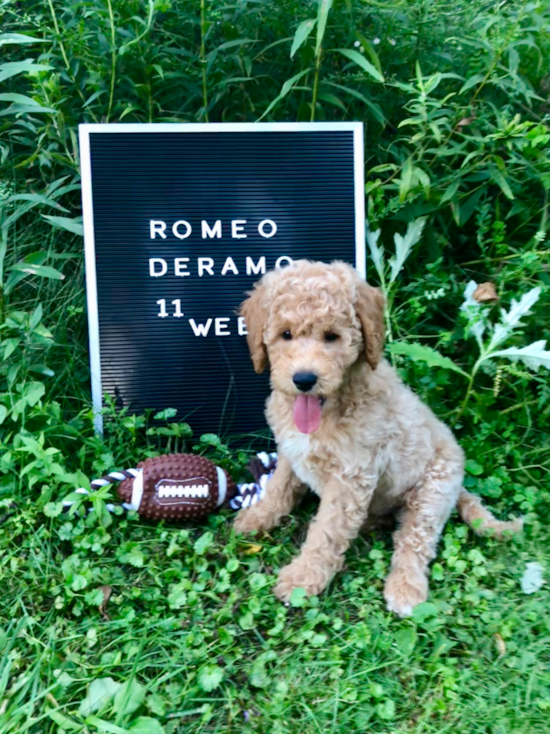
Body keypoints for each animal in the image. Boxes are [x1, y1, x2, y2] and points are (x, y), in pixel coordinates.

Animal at [235, 262, 524, 620]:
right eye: (285, 334)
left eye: (332, 337)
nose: (304, 379)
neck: (331, 406)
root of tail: (459, 486)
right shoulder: (291, 452)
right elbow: (278, 488)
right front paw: (257, 516)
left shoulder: (350, 479)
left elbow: (326, 532)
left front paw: (303, 579)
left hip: (432, 492)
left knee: (414, 541)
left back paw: (405, 589)